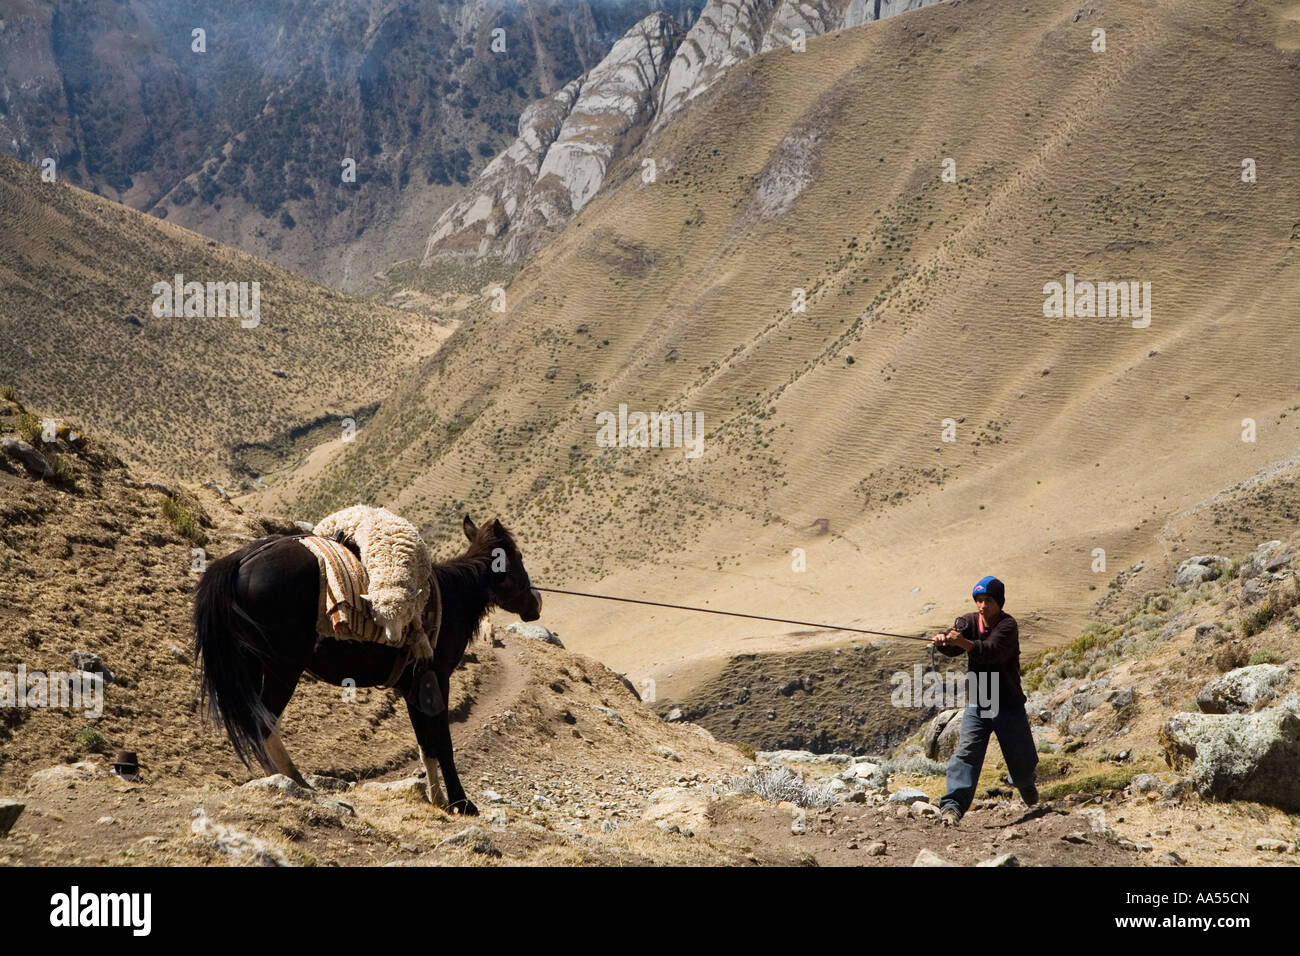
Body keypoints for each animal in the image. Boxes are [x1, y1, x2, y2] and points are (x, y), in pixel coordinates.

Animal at [192, 514, 542, 814]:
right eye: (518, 557)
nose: (535, 604)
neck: (454, 598)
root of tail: (242, 560)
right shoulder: (438, 679)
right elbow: (442, 742)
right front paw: (462, 803)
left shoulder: (414, 686)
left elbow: (425, 743)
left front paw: (438, 799)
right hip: (283, 669)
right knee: (262, 722)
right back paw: (292, 781)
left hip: (252, 668)